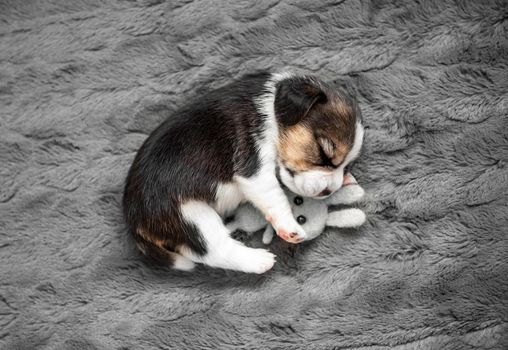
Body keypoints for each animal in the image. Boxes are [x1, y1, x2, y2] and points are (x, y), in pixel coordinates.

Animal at [121, 71, 364, 274]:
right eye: (324, 154)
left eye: (347, 166)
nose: (328, 191)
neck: (271, 110)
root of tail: (134, 223)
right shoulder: (254, 167)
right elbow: (276, 199)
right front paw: (290, 228)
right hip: (191, 216)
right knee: (212, 251)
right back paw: (259, 260)